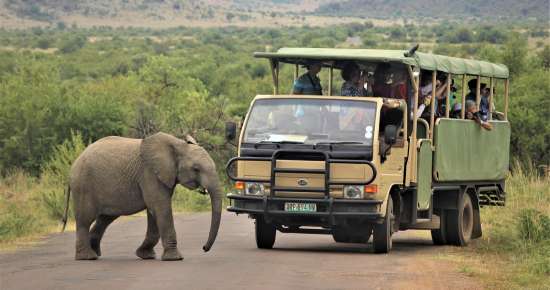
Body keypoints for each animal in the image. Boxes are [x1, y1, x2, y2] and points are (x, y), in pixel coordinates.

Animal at [62, 133, 222, 262]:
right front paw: (175, 258)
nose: (204, 248)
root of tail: (72, 166)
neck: (177, 144)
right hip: (83, 186)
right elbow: (160, 208)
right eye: (196, 169)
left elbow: (154, 212)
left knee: (105, 218)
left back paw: (95, 253)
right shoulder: (149, 174)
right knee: (85, 220)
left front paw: (146, 255)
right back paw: (87, 257)